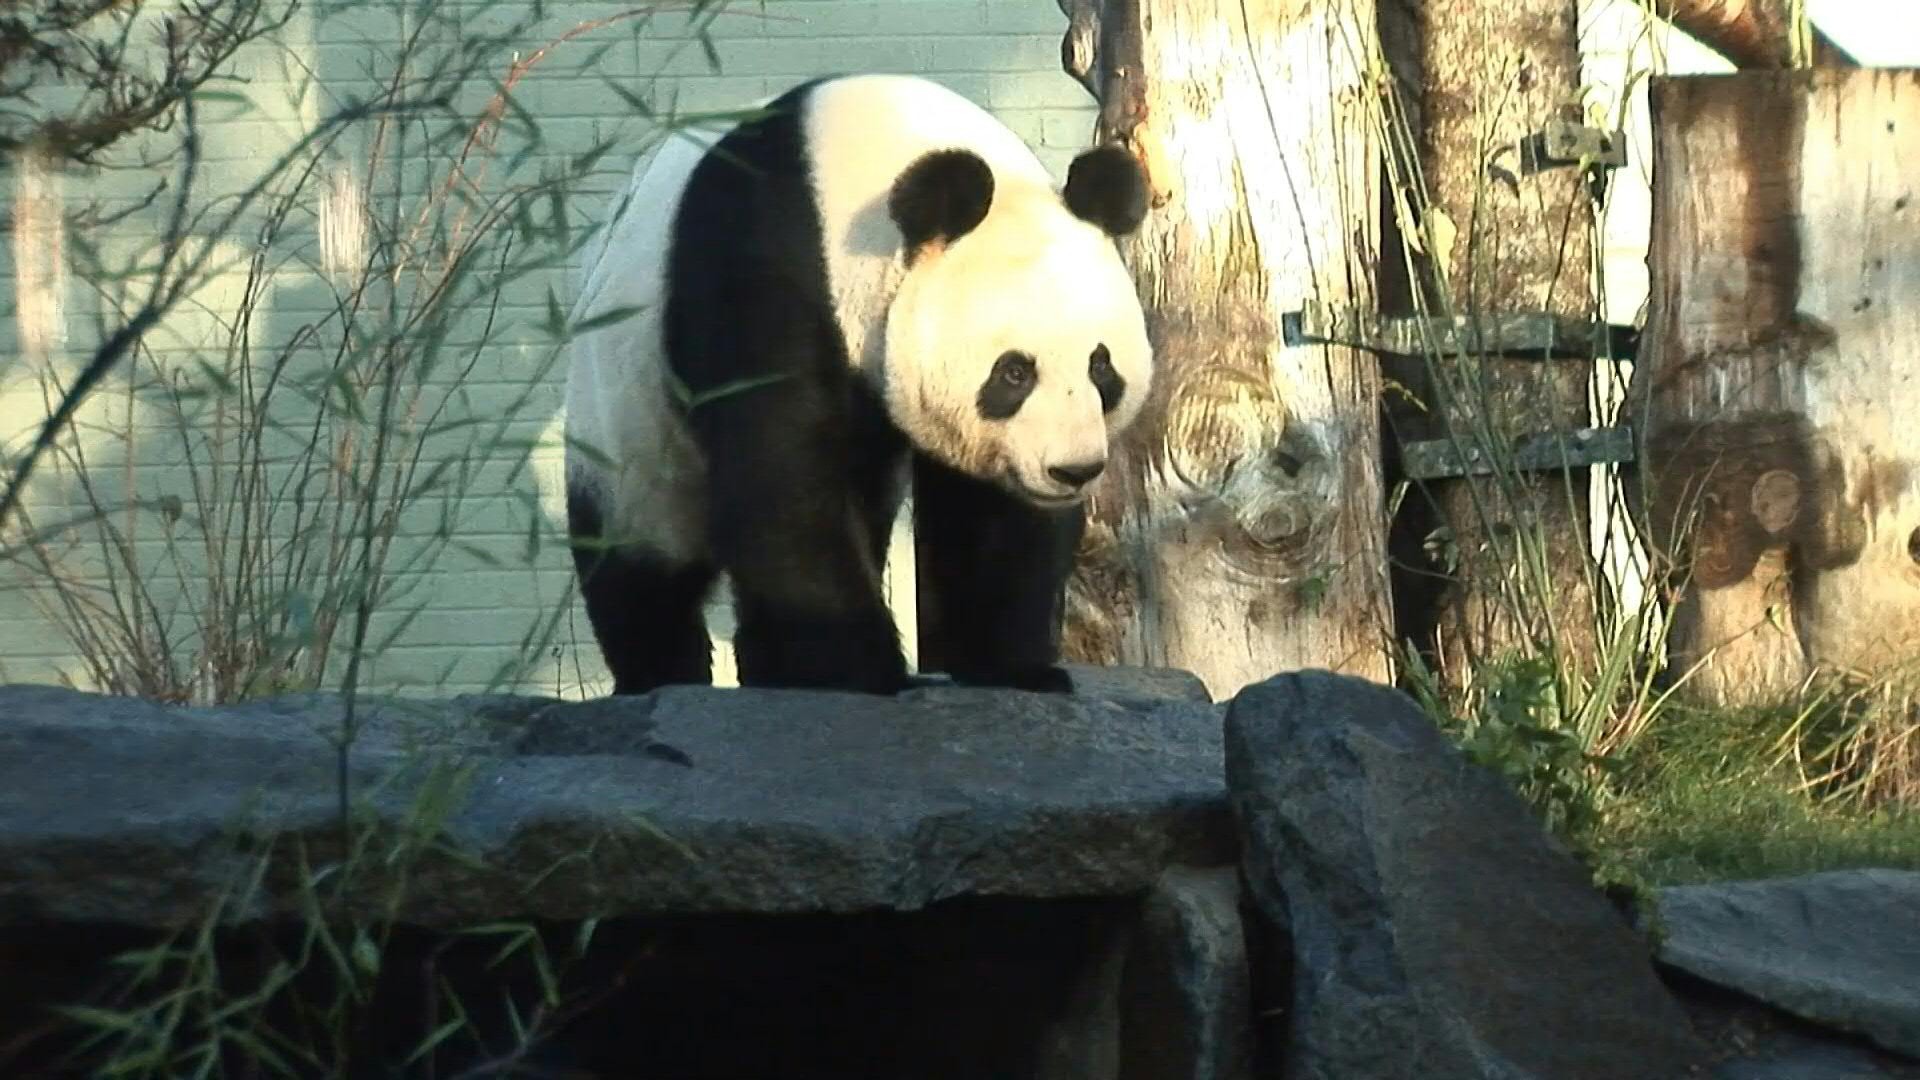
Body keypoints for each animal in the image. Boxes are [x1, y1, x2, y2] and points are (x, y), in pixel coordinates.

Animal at [563, 73, 1153, 697]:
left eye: (1101, 367)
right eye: (1014, 372)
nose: (1073, 470)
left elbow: (996, 516)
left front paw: (1015, 668)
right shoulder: (762, 268)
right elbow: (782, 470)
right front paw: (854, 668)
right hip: (623, 415)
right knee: (638, 562)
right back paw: (661, 671)